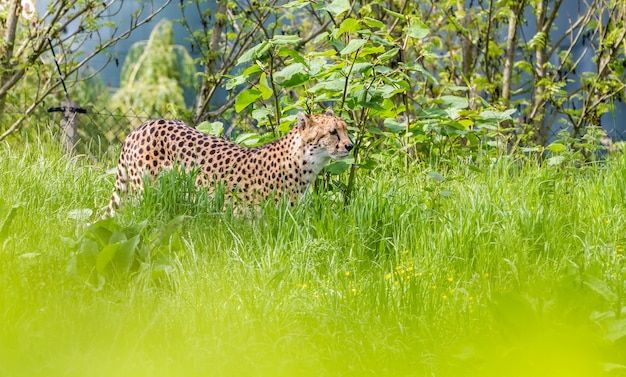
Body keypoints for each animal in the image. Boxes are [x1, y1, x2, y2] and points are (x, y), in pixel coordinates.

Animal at [106, 108, 352, 214]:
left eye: (345, 129)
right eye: (333, 132)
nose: (350, 146)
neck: (305, 161)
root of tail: (142, 126)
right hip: (144, 193)